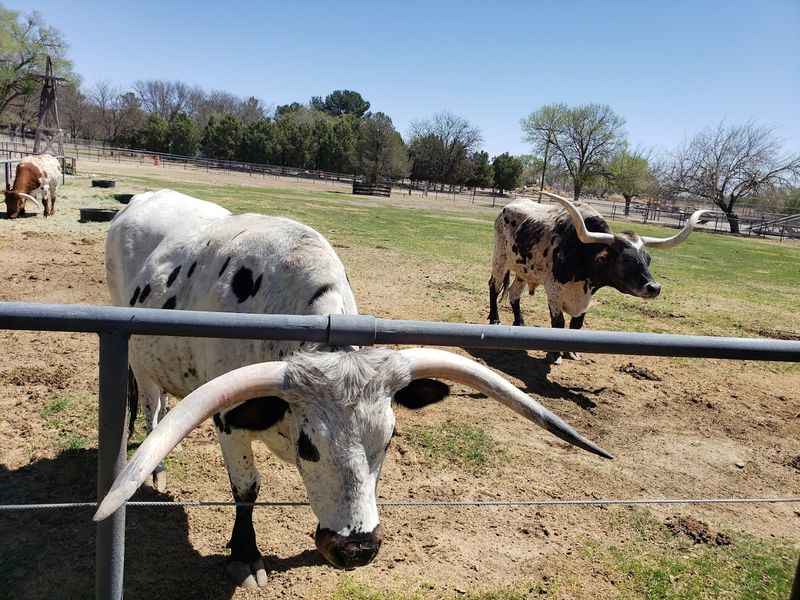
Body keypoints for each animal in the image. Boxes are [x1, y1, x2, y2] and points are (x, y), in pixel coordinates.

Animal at [101, 190, 612, 588]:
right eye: (308, 446)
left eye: (389, 439)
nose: (356, 550)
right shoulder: (231, 421)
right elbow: (247, 488)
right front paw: (245, 557)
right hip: (137, 354)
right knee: (153, 406)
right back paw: (155, 465)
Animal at [488, 190, 708, 364]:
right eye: (626, 260)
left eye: (648, 259)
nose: (654, 287)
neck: (581, 253)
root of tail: (509, 206)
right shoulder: (554, 291)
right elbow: (558, 323)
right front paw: (554, 355)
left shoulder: (586, 295)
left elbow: (576, 324)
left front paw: (571, 352)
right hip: (500, 259)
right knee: (494, 286)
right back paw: (495, 320)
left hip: (524, 270)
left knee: (514, 294)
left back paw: (520, 323)